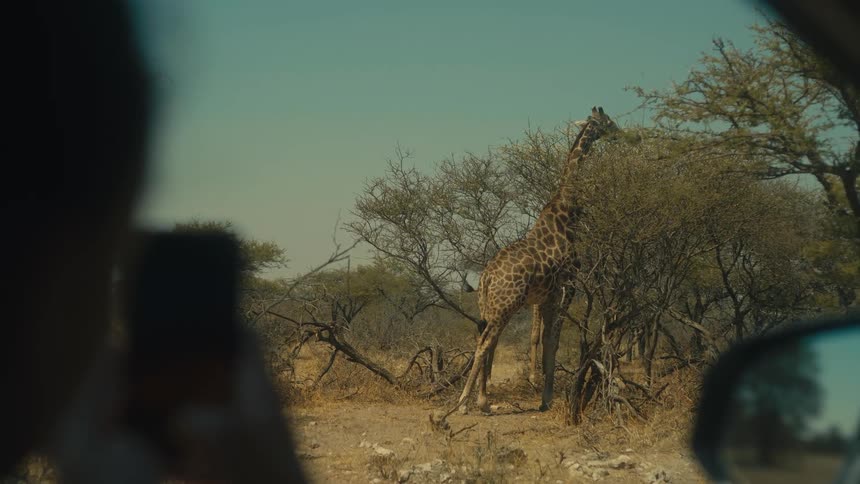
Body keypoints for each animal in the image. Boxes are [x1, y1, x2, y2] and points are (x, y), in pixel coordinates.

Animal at [447, 106, 618, 417]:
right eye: (607, 121)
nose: (618, 132)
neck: (566, 215)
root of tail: (486, 278)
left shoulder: (546, 296)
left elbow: (546, 339)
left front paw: (543, 395)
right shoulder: (567, 286)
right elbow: (553, 340)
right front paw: (546, 398)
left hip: (491, 306)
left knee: (486, 340)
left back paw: (483, 401)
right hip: (507, 304)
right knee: (485, 343)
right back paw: (466, 402)